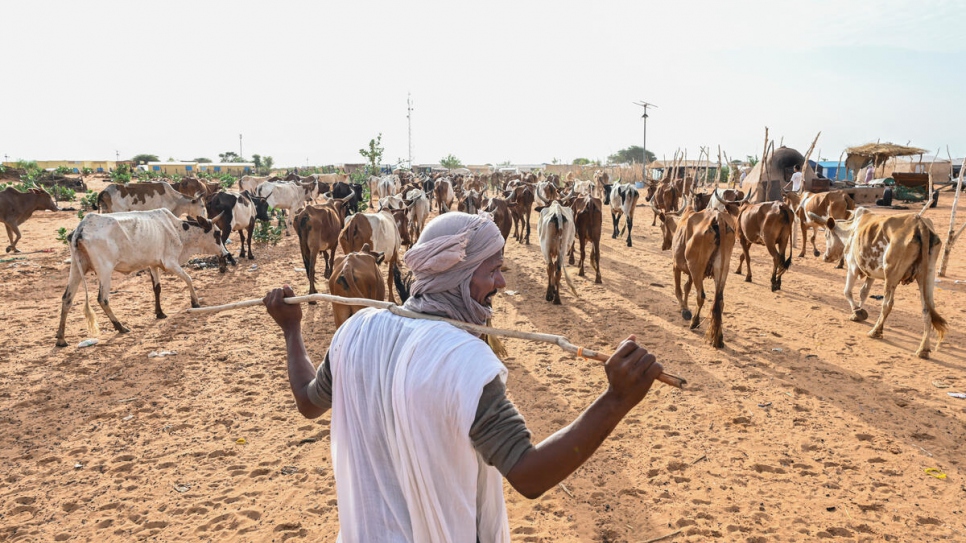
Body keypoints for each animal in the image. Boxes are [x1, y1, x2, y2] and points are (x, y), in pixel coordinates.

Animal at [55, 210, 232, 346]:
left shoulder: (153, 264)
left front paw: (159, 312)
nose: (225, 254)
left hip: (77, 268)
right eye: (217, 233)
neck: (179, 231)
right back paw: (120, 327)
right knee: (102, 299)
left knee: (67, 298)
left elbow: (157, 289)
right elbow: (188, 278)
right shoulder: (170, 262)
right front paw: (195, 302)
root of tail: (81, 227)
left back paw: (61, 339)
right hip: (105, 270)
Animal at [672, 208, 740, 348]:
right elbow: (687, 287)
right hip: (722, 269)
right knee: (719, 301)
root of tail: (718, 217)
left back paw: (694, 322)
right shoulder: (691, 272)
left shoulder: (676, 265)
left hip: (697, 267)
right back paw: (718, 338)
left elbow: (679, 289)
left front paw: (685, 310)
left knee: (701, 296)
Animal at [812, 210, 948, 360]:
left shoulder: (853, 267)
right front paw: (858, 312)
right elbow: (864, 292)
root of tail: (919, 223)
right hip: (927, 275)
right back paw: (923, 349)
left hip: (892, 274)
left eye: (826, 235)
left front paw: (857, 312)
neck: (851, 229)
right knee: (927, 308)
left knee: (887, 304)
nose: (825, 257)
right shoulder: (870, 274)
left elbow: (847, 291)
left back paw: (875, 331)